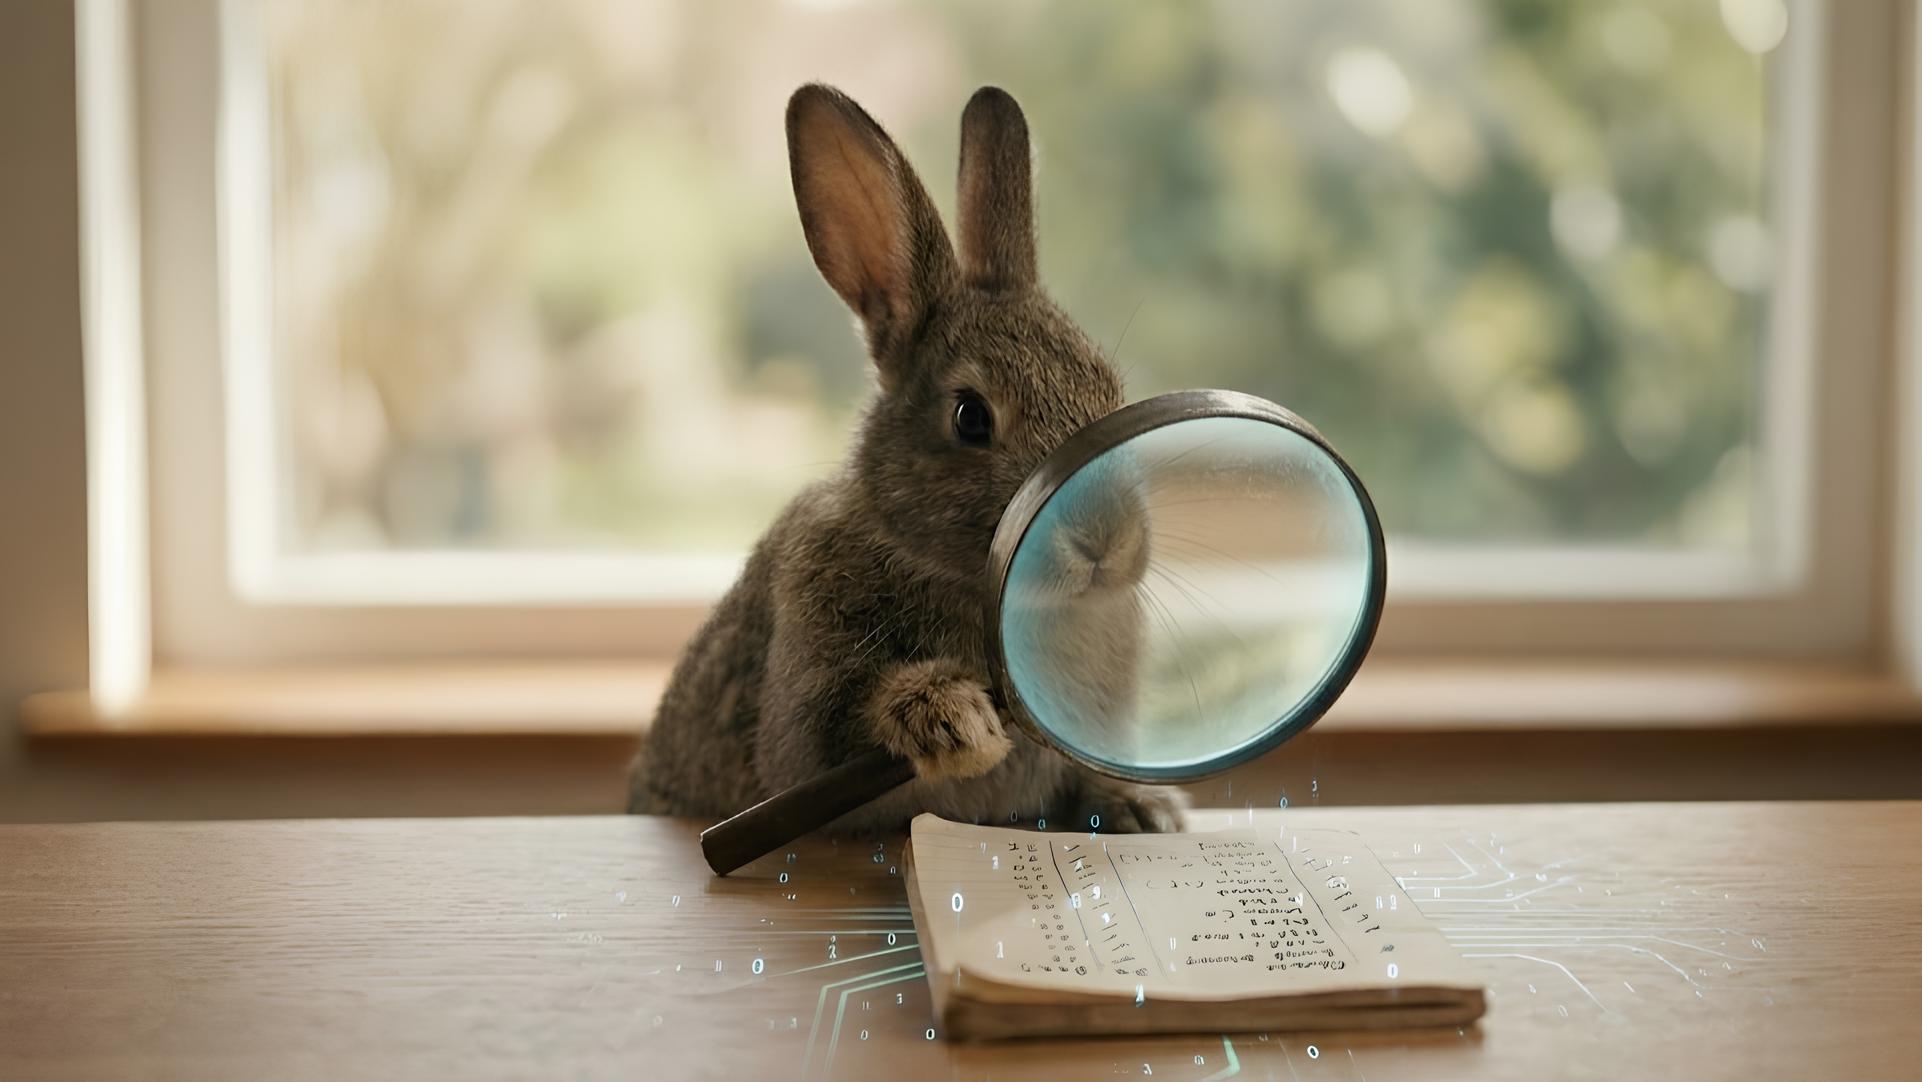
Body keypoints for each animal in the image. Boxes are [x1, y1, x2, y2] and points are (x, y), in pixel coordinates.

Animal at [626, 83, 1186, 836]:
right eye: (971, 418)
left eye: (1112, 392)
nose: (1109, 542)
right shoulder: (803, 712)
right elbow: (836, 731)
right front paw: (953, 719)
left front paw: (1145, 809)